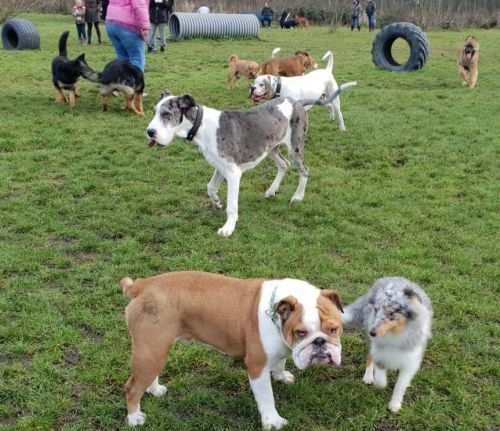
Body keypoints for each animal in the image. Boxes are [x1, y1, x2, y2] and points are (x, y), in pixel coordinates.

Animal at [120, 272, 344, 430]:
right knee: (132, 387)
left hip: (155, 350)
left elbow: (280, 363)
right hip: (151, 351)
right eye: (301, 333)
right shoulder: (257, 367)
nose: (320, 341)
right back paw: (135, 418)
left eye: (334, 329)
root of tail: (143, 285)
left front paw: (281, 376)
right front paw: (273, 421)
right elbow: (267, 398)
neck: (277, 315)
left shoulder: (282, 348)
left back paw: (154, 389)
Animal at [145, 84, 356, 238]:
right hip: (271, 148)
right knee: (284, 165)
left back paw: (298, 196)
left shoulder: (233, 173)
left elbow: (232, 206)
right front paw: (216, 202)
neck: (201, 126)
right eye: (154, 111)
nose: (149, 132)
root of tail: (296, 102)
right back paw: (272, 190)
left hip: (295, 148)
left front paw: (228, 228)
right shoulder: (220, 167)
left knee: (304, 169)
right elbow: (210, 187)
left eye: (166, 114)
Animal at [342, 278, 432, 414]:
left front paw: (395, 404)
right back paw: (368, 377)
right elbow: (380, 378)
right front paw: (380, 382)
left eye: (391, 313)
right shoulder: (379, 351)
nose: (372, 332)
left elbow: (400, 385)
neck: (395, 334)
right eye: (376, 310)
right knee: (369, 357)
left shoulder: (410, 362)